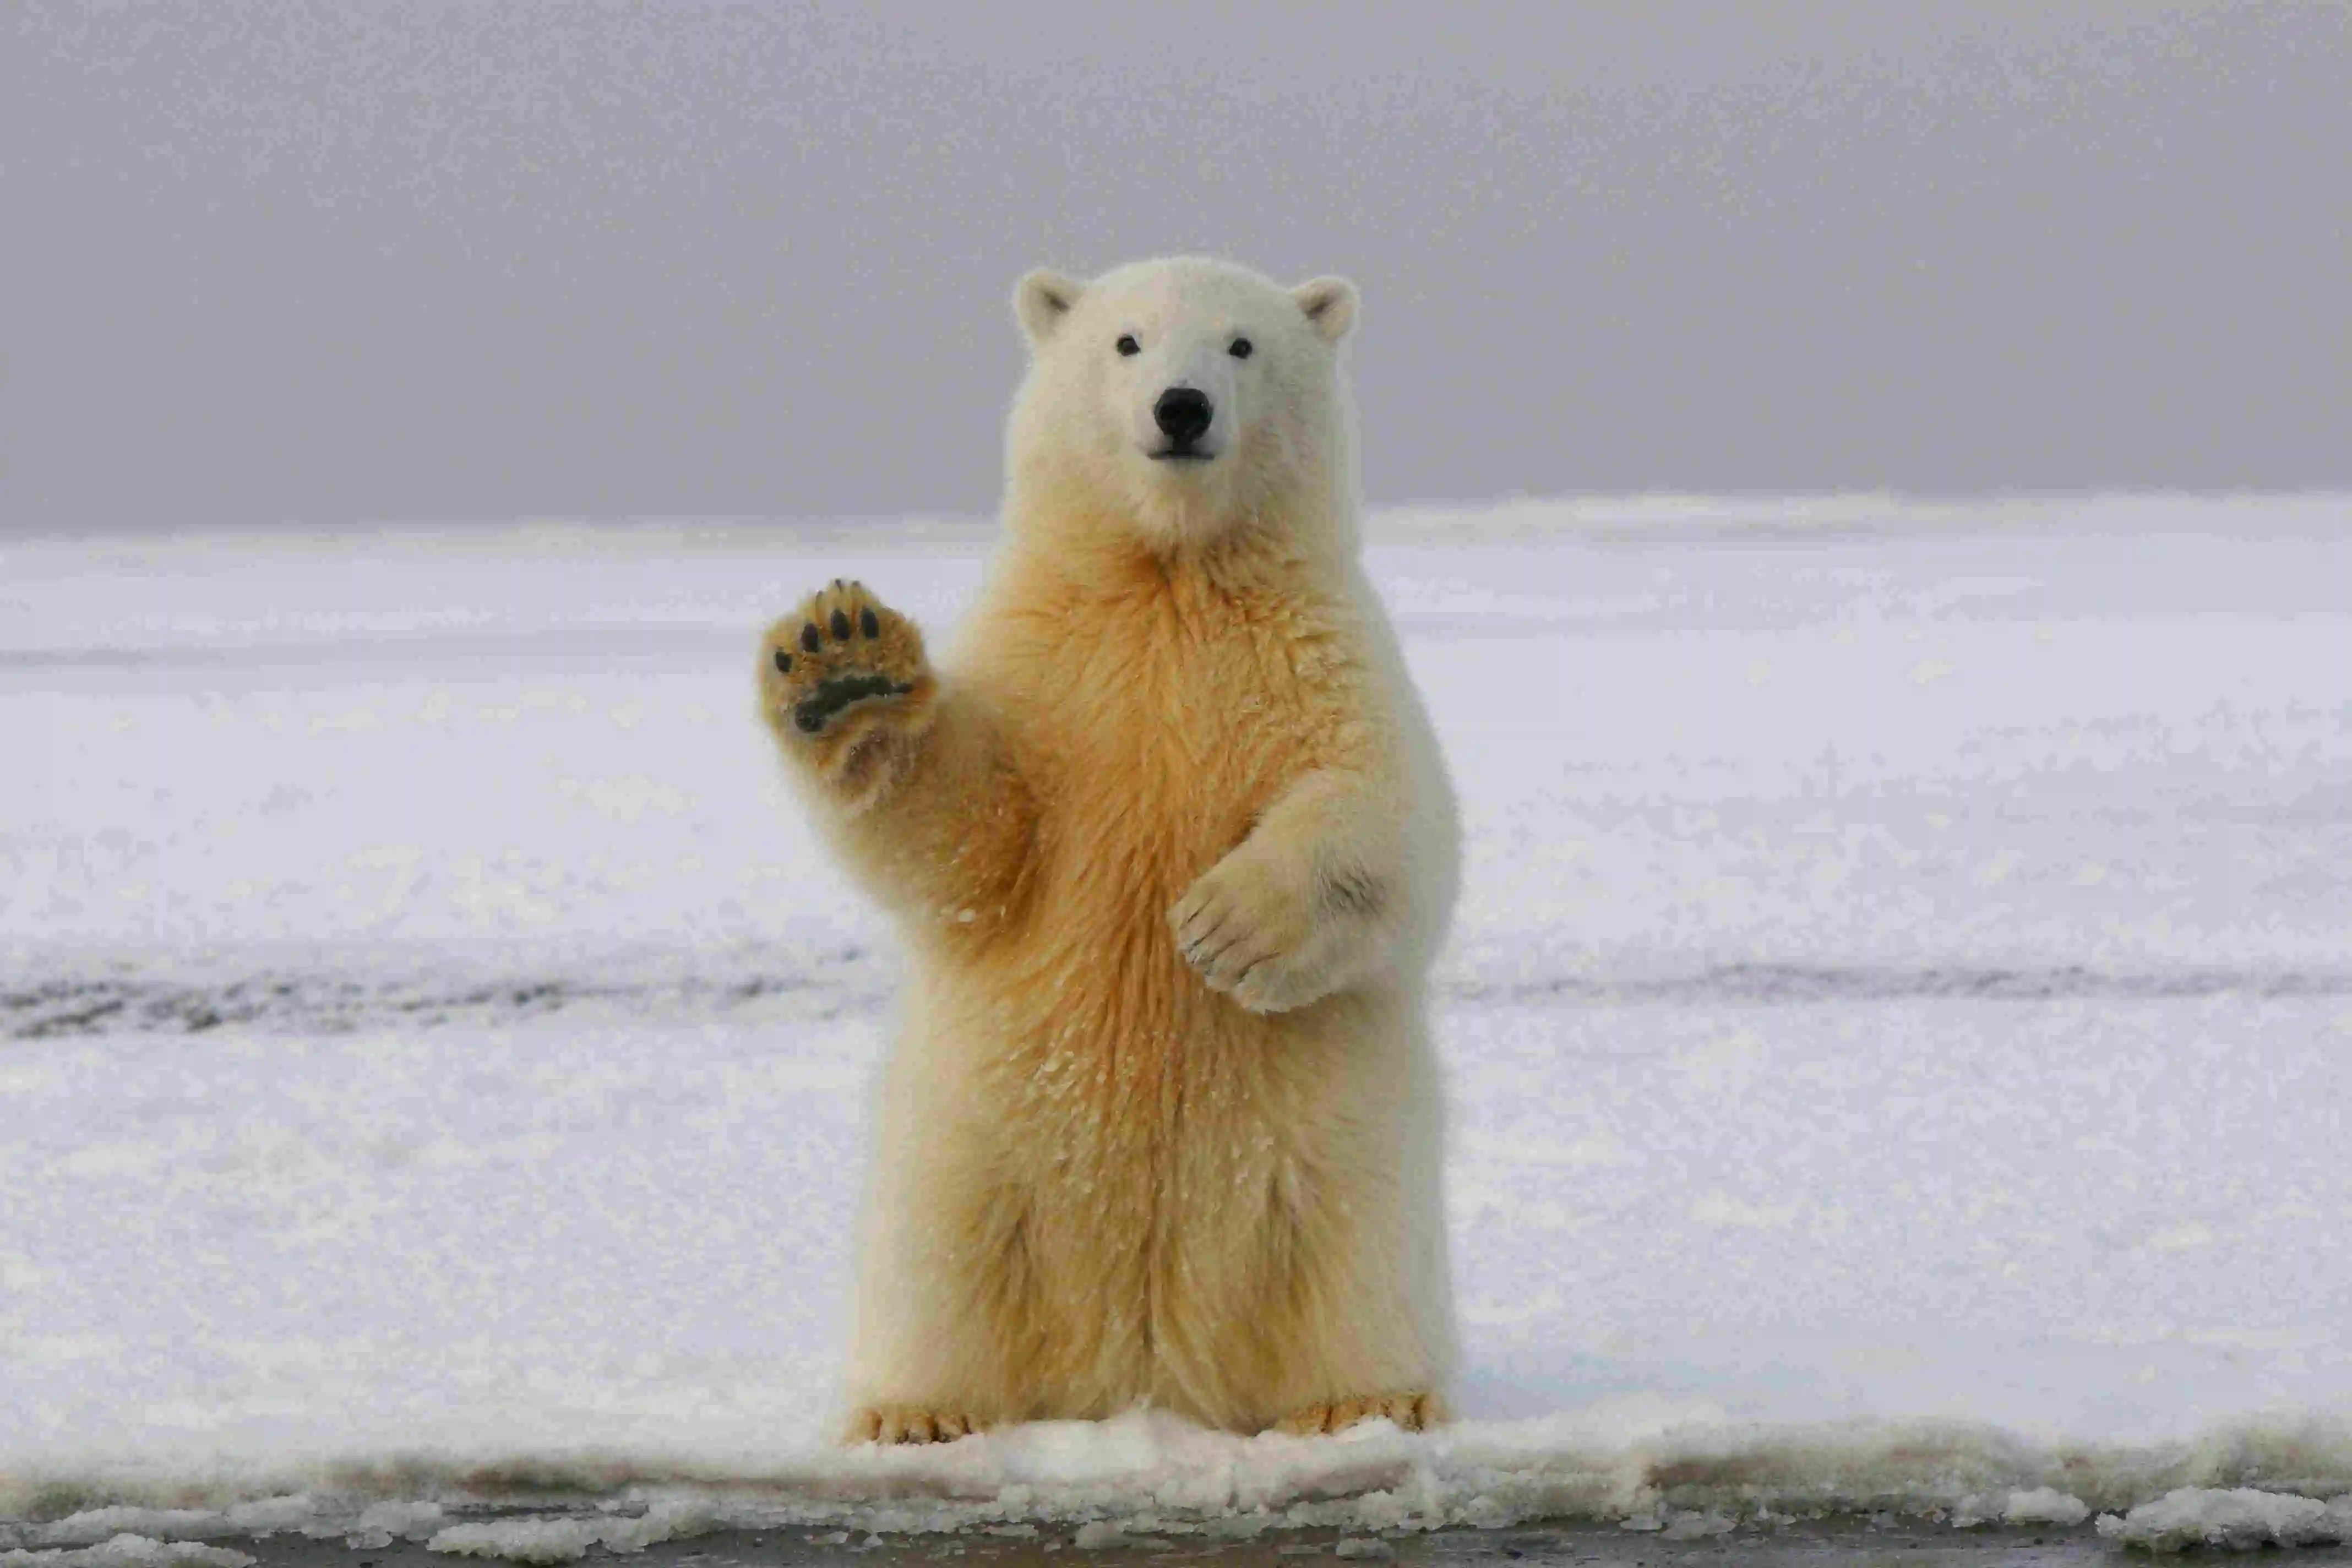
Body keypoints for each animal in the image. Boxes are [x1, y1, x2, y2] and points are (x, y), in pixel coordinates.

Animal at [757, 257, 1449, 1448]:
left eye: (1241, 344)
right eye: (1126, 341)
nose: (1182, 407)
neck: (1170, 575)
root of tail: (1144, 1368)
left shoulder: (1319, 654)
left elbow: (1387, 813)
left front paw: (1223, 926)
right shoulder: (1054, 669)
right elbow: (975, 838)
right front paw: (844, 666)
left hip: (1340, 1151)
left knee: (1355, 1259)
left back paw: (1367, 1398)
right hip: (968, 1146)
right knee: (939, 1265)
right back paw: (915, 1411)